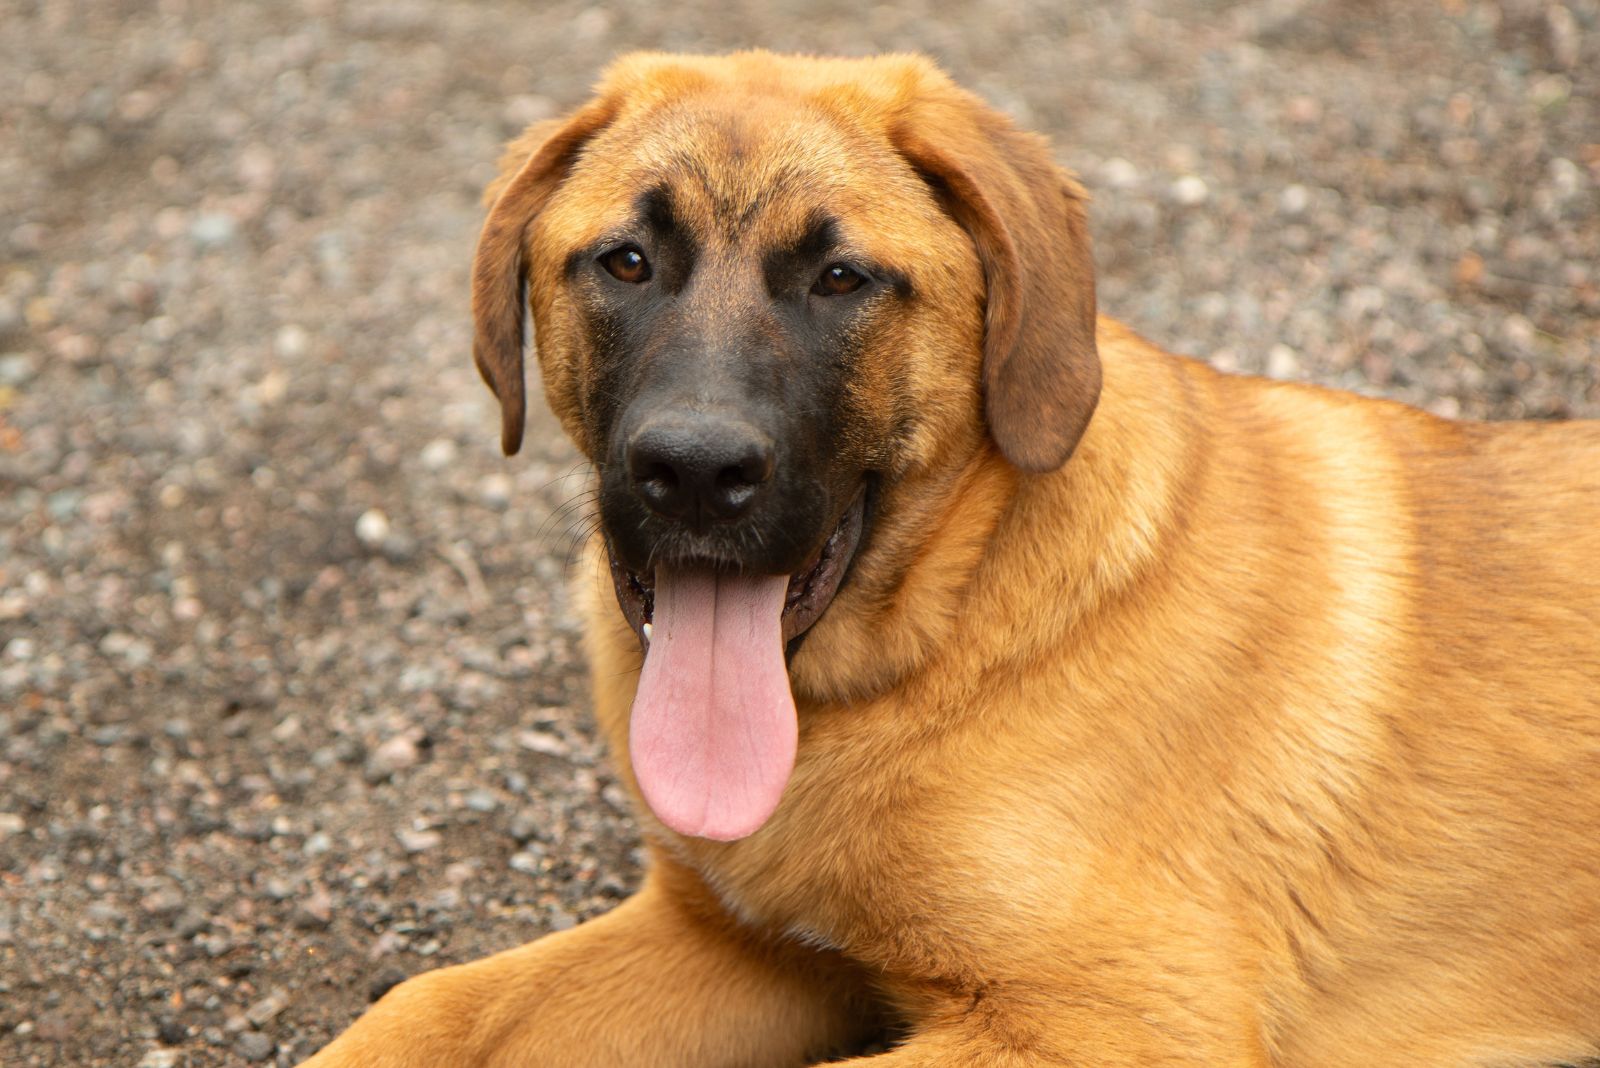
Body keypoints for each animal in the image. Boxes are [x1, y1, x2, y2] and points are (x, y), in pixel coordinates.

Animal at [302, 51, 1600, 1068]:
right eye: (624, 262)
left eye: (841, 279)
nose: (694, 472)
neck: (922, 658)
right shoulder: (733, 943)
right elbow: (423, 1009)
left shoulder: (1114, 1024)